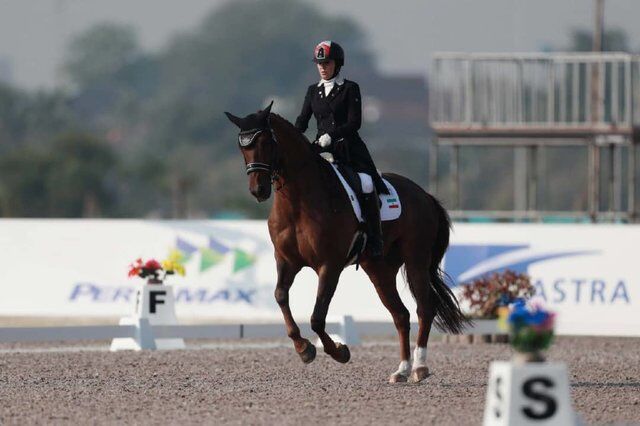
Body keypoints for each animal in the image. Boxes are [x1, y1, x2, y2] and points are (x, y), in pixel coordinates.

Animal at [225, 102, 464, 382]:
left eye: (265, 141)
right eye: (242, 146)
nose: (258, 190)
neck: (298, 203)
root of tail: (424, 195)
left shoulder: (329, 266)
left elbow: (317, 317)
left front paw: (339, 351)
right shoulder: (286, 261)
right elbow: (280, 296)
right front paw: (303, 348)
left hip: (416, 260)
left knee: (424, 310)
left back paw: (419, 368)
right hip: (380, 270)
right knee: (400, 315)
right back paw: (401, 370)